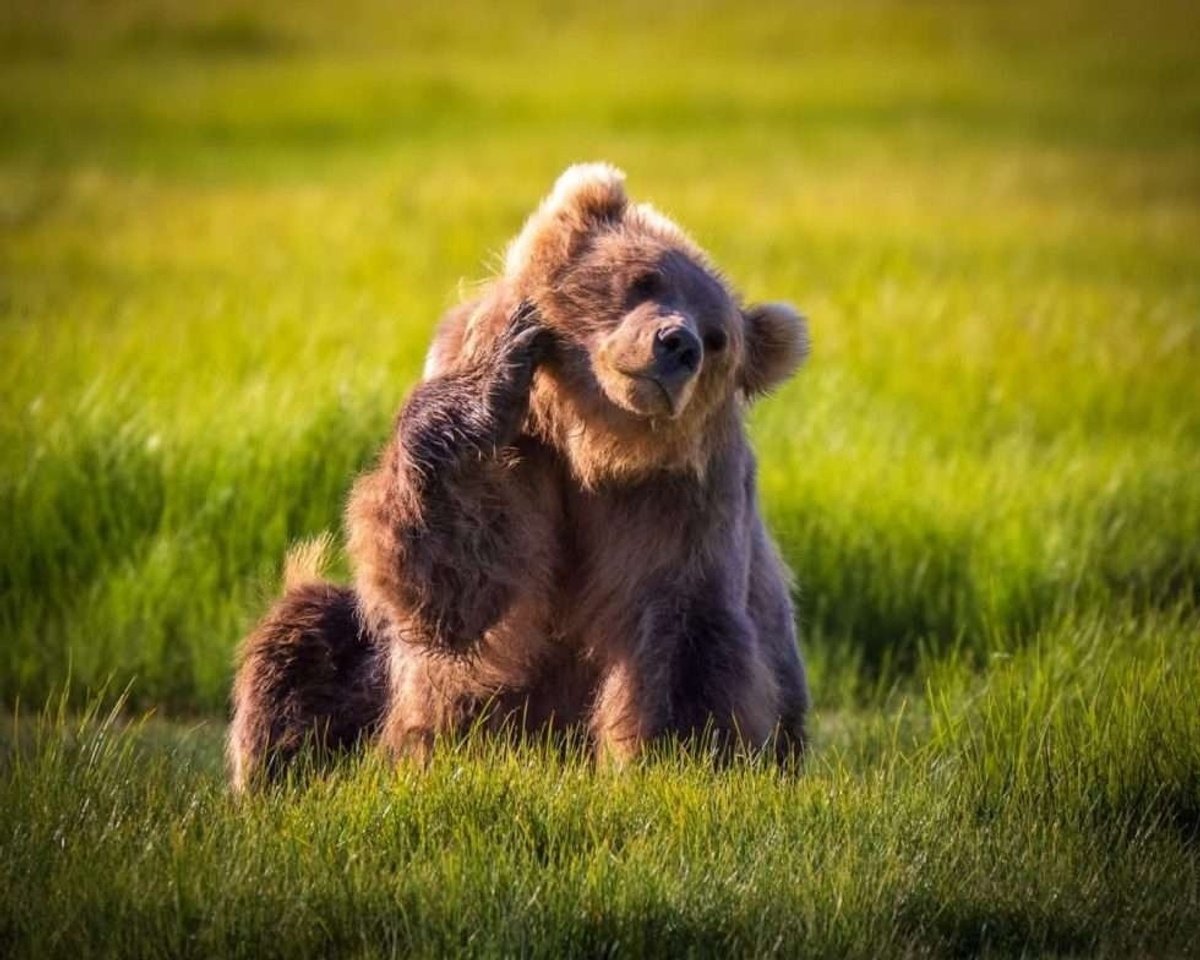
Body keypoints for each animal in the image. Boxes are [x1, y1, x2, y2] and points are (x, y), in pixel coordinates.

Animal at [228, 163, 810, 791]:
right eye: (642, 279)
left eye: (719, 337)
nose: (679, 344)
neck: (589, 438)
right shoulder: (520, 447)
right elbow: (460, 584)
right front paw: (493, 374)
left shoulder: (681, 494)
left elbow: (681, 623)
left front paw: (676, 759)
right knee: (309, 632)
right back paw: (280, 769)